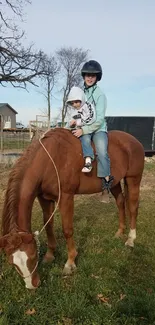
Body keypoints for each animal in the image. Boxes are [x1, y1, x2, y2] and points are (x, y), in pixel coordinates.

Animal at [0, 128, 144, 288]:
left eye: (32, 256)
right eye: (12, 263)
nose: (32, 285)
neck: (48, 160)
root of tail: (134, 141)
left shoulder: (66, 197)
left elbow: (67, 230)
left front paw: (70, 263)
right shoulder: (44, 198)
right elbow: (48, 225)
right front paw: (50, 255)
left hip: (133, 179)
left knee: (133, 207)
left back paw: (130, 240)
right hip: (114, 182)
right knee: (120, 203)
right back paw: (119, 232)